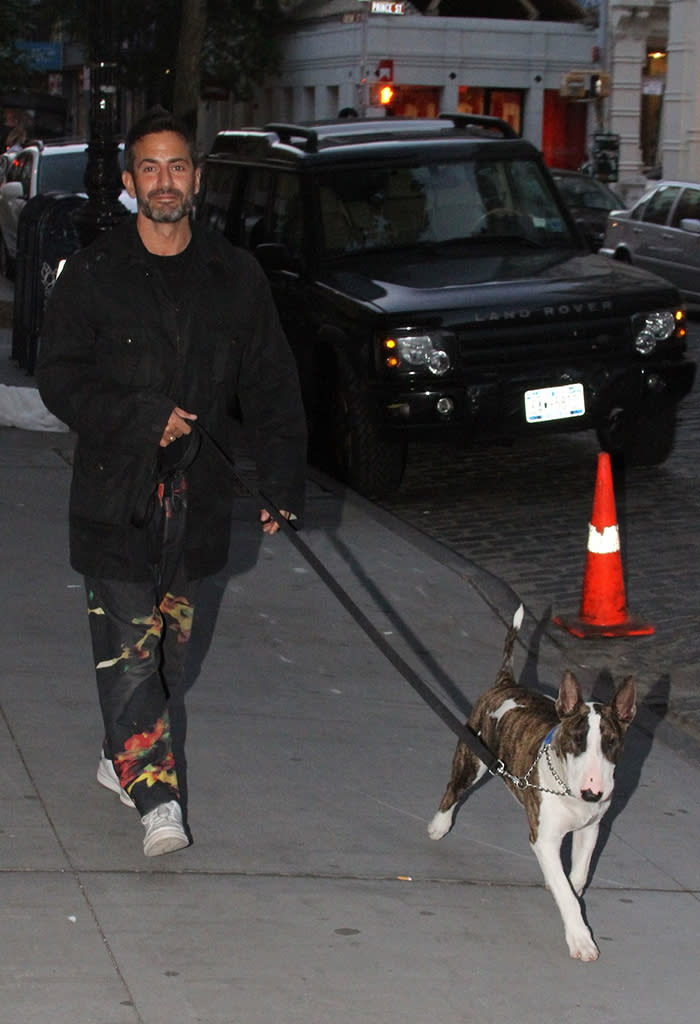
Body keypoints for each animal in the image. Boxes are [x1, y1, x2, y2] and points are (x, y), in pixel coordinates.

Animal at [429, 598, 638, 958]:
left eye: (611, 743)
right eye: (576, 740)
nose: (593, 793)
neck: (568, 790)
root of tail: (506, 683)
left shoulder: (590, 829)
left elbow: (578, 876)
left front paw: (566, 888)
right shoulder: (544, 838)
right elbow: (567, 892)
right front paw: (581, 939)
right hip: (473, 753)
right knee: (454, 787)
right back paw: (439, 825)